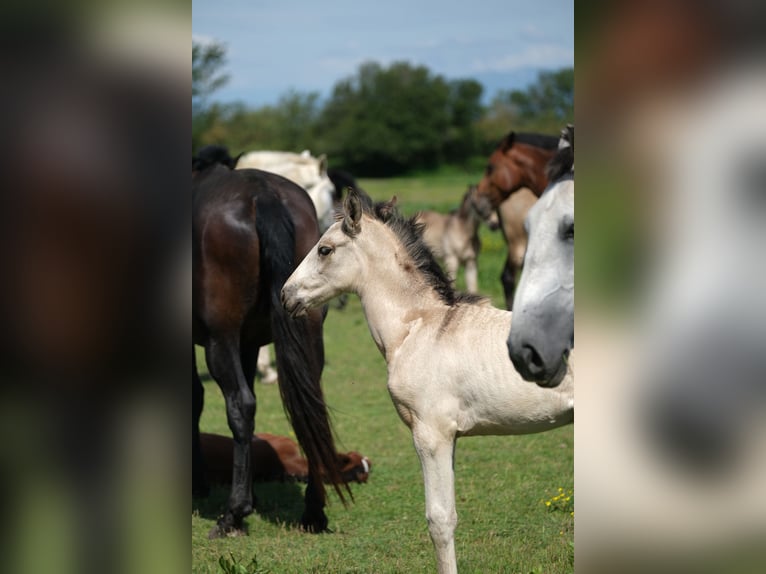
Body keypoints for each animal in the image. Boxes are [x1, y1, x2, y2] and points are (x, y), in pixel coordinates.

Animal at [192, 157, 349, 538]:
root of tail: (262, 194)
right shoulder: (249, 344)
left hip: (220, 340)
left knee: (240, 405)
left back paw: (233, 514)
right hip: (307, 329)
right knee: (310, 404)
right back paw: (313, 510)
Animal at [281, 188, 574, 574]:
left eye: (325, 249)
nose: (286, 295)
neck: (418, 328)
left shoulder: (430, 434)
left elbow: (440, 520)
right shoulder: (450, 436)